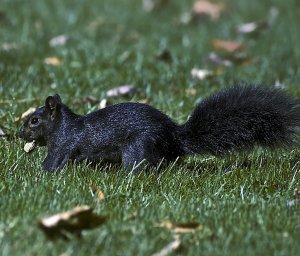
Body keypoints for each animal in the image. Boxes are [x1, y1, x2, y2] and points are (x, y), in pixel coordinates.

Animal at [18, 85, 300, 171]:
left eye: (34, 120)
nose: (20, 133)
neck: (63, 125)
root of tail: (174, 137)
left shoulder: (62, 145)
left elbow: (51, 164)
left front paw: (36, 174)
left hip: (138, 146)